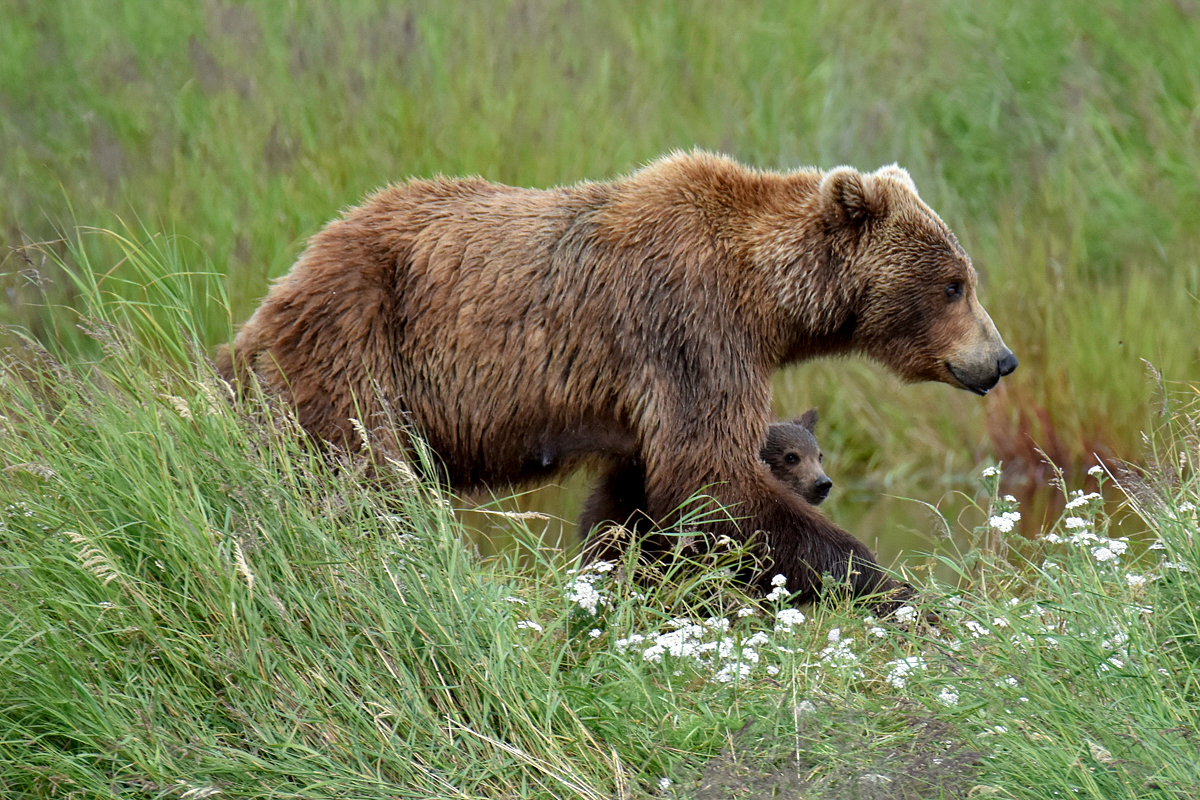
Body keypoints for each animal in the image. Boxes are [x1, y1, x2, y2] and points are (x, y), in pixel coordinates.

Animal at [220, 149, 1017, 606]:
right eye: (954, 285)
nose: (1002, 359)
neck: (765, 299)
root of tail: (276, 291)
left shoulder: (651, 394)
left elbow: (641, 498)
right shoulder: (689, 327)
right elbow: (710, 476)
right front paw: (888, 583)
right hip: (357, 343)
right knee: (360, 480)